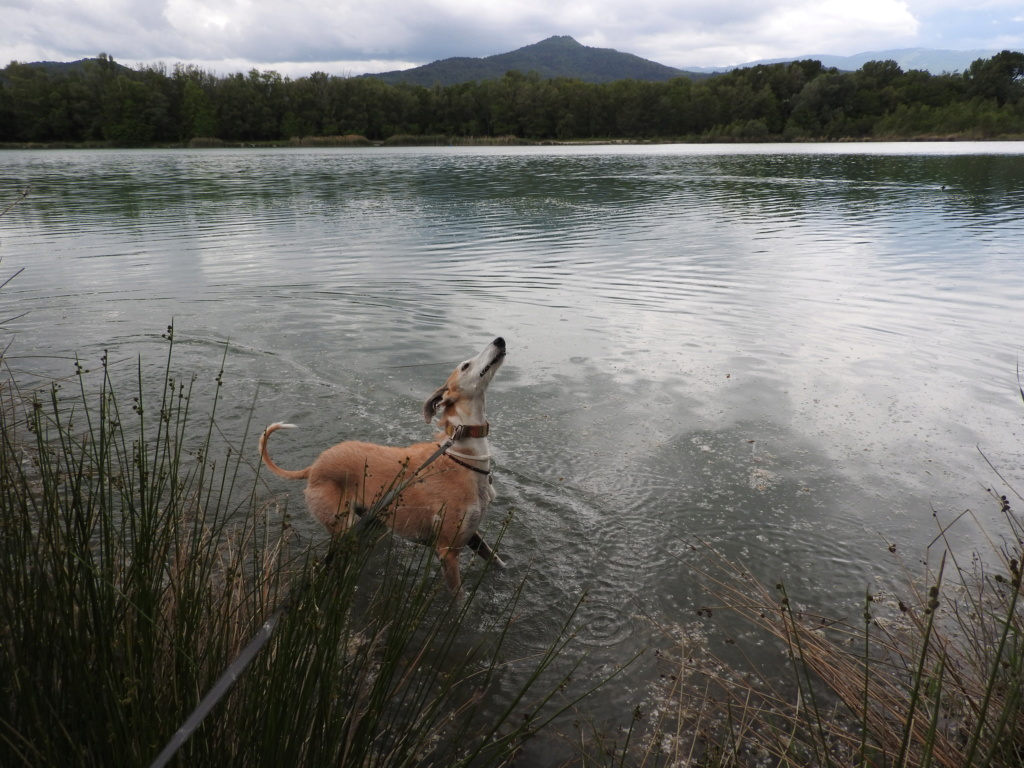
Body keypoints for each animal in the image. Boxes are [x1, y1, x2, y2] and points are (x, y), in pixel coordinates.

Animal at [260, 335, 507, 593]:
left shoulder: (472, 536)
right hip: (344, 525)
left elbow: (497, 561)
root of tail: (314, 466)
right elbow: (458, 598)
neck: (460, 453)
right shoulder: (447, 550)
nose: (500, 340)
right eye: (466, 366)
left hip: (370, 519)